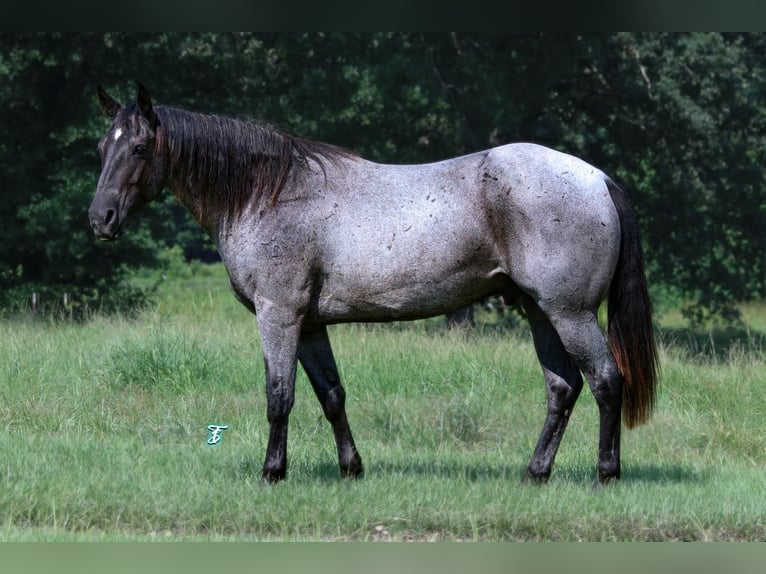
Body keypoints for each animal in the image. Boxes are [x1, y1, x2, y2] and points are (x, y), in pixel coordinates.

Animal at [88, 86, 660, 490]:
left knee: (607, 381)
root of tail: (597, 178)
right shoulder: (310, 323)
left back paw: (605, 475)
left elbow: (279, 396)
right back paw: (534, 473)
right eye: (101, 146)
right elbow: (331, 394)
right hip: (541, 313)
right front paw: (351, 468)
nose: (100, 219)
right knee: (563, 388)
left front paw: (272, 472)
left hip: (571, 313)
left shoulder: (278, 315)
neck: (266, 192)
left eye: (139, 146)